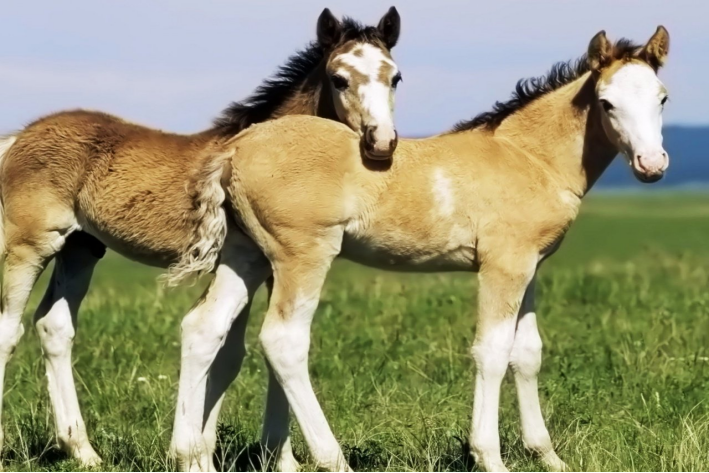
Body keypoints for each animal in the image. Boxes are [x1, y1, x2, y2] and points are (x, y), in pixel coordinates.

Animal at [0, 8, 402, 472]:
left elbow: (243, 353)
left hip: (82, 248)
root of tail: (19, 136)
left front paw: (269, 457)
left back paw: (83, 451)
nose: (381, 142)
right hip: (31, 245)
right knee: (8, 330)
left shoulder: (266, 267)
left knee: (55, 327)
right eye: (339, 78)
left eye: (395, 77)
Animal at [220, 27, 668, 470]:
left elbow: (527, 354)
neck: (529, 157)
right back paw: (332, 459)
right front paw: (489, 456)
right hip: (302, 257)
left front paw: (547, 455)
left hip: (249, 256)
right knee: (283, 342)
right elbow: (492, 352)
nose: (652, 164)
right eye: (606, 103)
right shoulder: (503, 266)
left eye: (662, 97)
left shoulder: (530, 266)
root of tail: (236, 148)